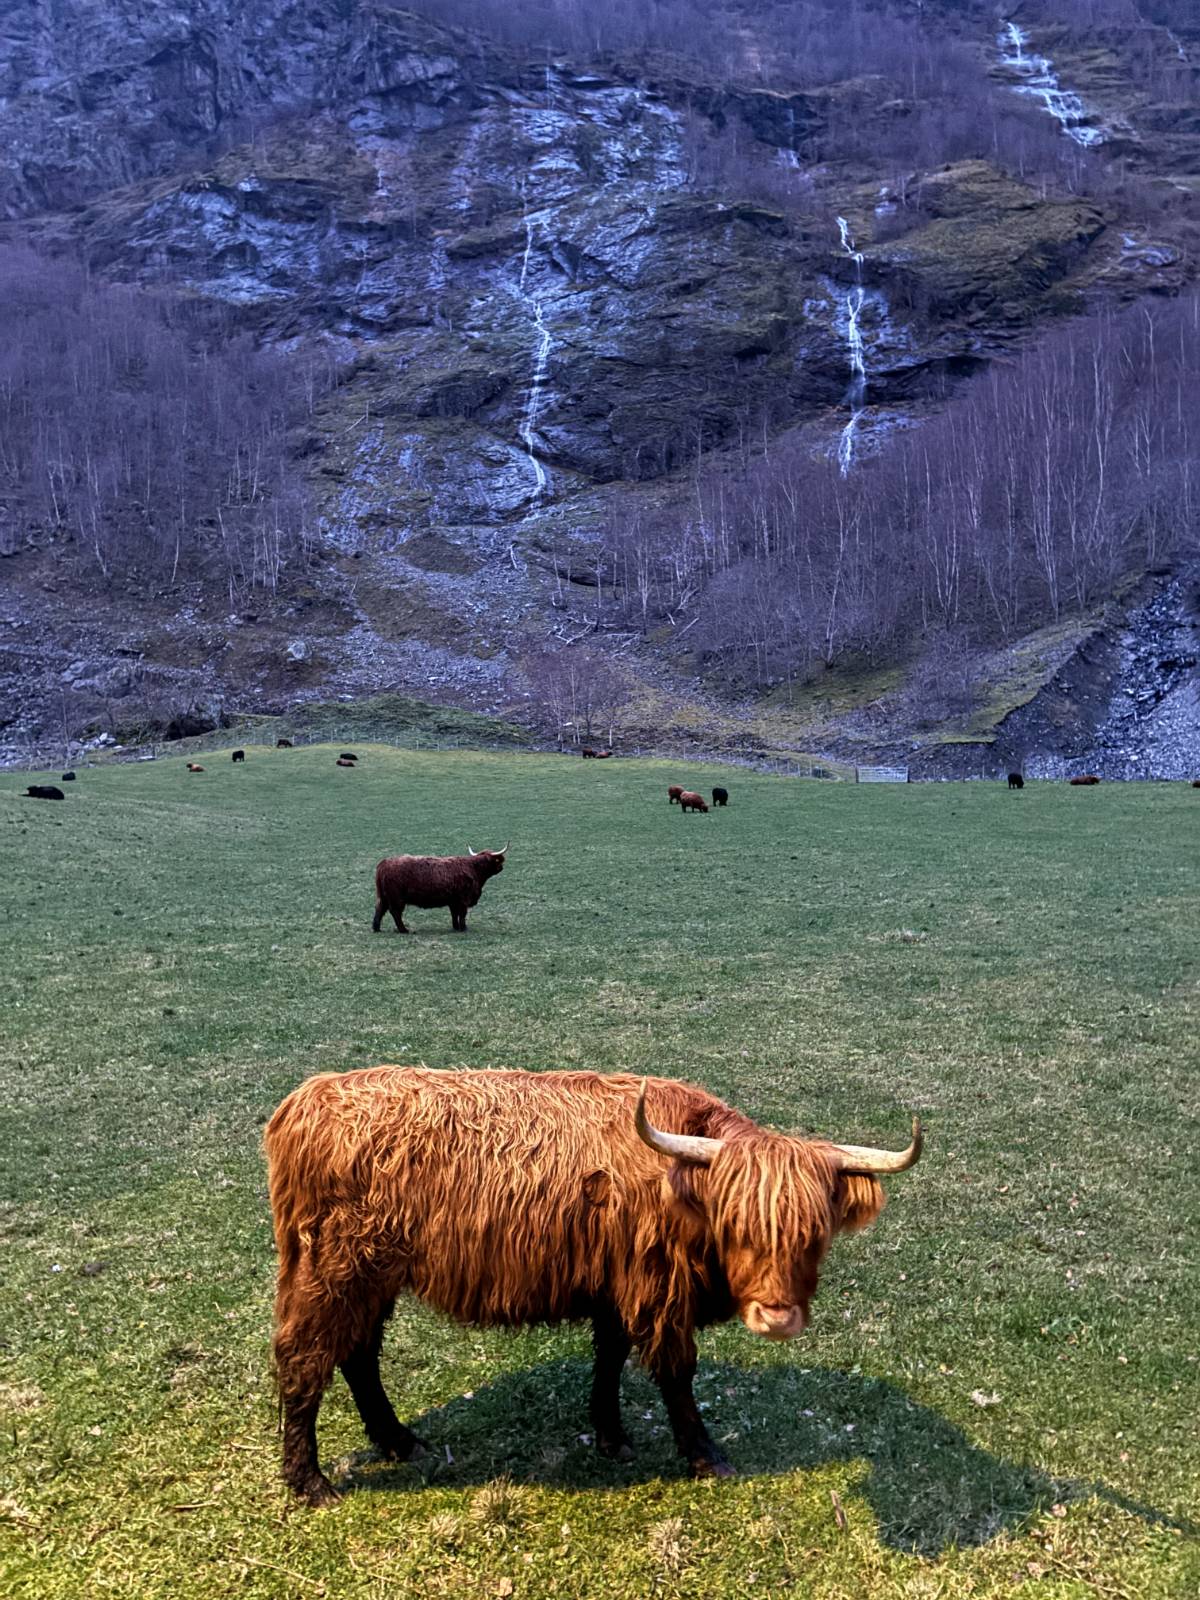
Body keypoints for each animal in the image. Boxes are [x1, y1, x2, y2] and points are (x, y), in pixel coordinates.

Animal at [265, 1068, 921, 1504]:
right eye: (736, 1225)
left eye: (814, 1234)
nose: (777, 1317)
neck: (682, 1186)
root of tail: (304, 1100)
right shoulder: (657, 1291)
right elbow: (676, 1373)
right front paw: (705, 1456)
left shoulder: (617, 1284)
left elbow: (610, 1356)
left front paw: (610, 1434)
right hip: (335, 1269)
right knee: (305, 1357)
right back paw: (309, 1481)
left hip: (372, 1275)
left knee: (357, 1354)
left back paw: (399, 1441)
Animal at [374, 844, 508, 934]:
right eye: (497, 861)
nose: (502, 868)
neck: (473, 869)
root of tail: (384, 863)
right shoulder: (463, 899)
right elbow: (462, 914)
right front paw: (464, 928)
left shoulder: (453, 901)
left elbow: (454, 914)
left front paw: (456, 927)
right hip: (397, 898)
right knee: (395, 912)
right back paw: (404, 930)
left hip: (384, 896)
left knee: (380, 909)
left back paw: (376, 928)